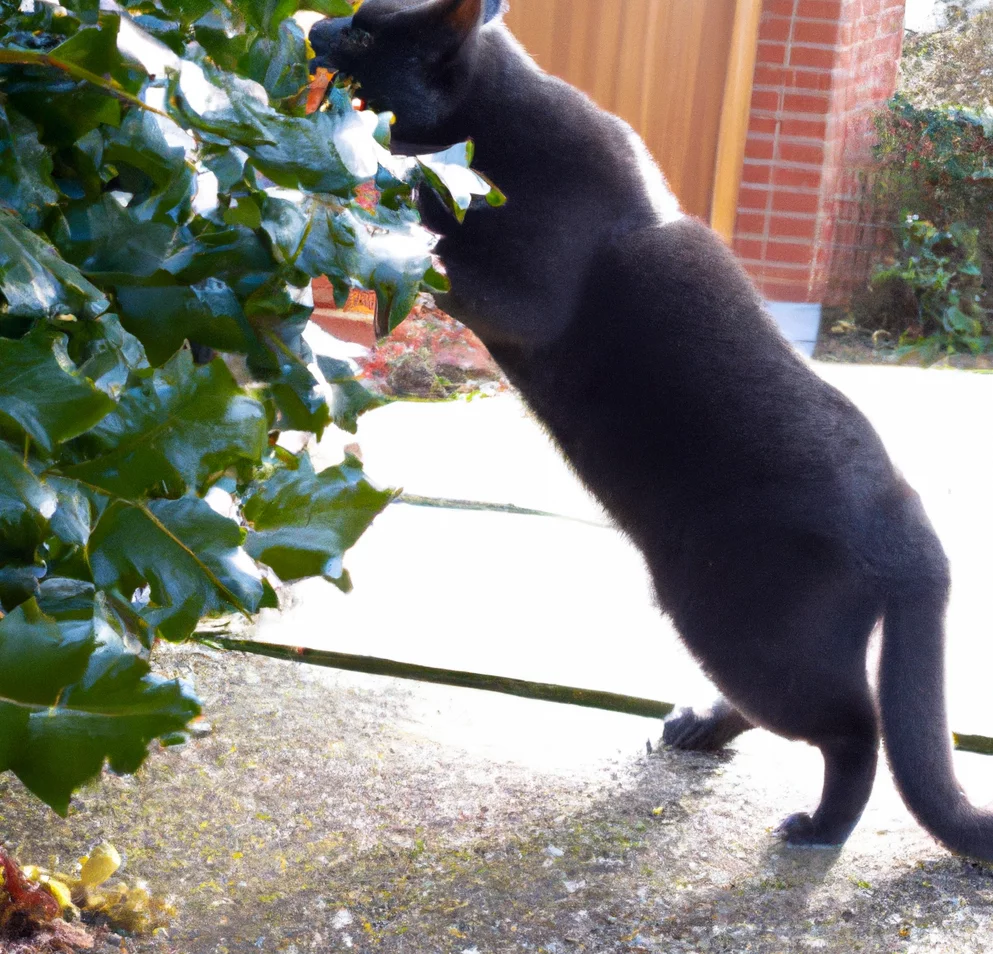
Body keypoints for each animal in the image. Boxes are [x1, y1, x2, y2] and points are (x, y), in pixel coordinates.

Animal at [312, 0, 992, 852]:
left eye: (366, 34)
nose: (314, 27)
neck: (494, 124)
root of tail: (913, 530)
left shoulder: (522, 296)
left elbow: (443, 254)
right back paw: (700, 730)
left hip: (736, 624)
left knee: (855, 731)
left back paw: (819, 825)